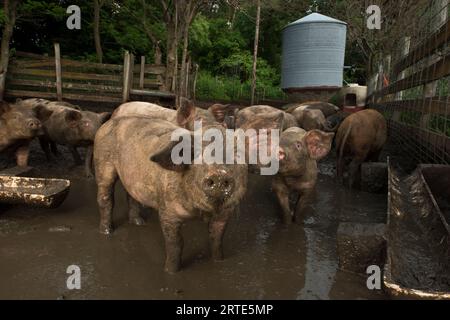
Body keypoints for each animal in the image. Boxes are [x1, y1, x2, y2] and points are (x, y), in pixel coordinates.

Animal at [95, 98, 284, 272]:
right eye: (194, 154)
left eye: (237, 155)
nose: (219, 174)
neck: (199, 212)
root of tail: (109, 121)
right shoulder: (167, 211)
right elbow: (176, 243)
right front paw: (171, 271)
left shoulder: (225, 213)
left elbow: (217, 239)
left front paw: (219, 261)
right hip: (103, 163)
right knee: (106, 198)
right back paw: (107, 231)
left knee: (131, 194)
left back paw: (139, 222)